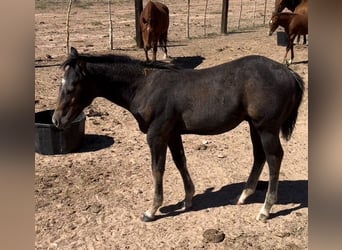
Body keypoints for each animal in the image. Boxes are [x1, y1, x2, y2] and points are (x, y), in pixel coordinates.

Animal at [52, 47, 304, 223]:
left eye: (71, 87)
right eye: (60, 84)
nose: (56, 120)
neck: (145, 86)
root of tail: (289, 73)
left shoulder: (156, 135)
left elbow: (157, 169)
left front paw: (152, 210)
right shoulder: (172, 133)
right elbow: (180, 161)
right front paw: (188, 200)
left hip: (266, 128)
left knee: (273, 158)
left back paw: (265, 209)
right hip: (254, 126)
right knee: (259, 156)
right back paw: (243, 197)